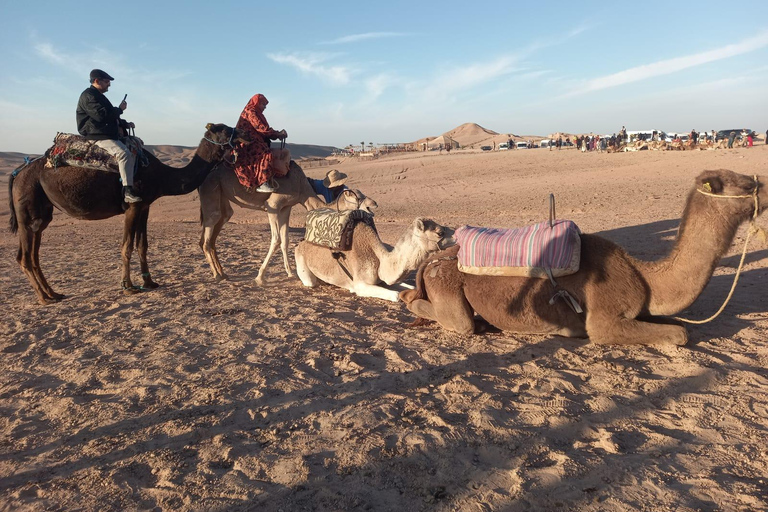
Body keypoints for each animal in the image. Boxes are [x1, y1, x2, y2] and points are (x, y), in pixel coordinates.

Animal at [9, 123, 249, 304]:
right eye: (225, 129)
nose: (244, 133)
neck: (162, 175)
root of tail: (18, 172)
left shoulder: (145, 206)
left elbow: (142, 245)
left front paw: (149, 282)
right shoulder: (132, 206)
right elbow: (126, 246)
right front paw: (128, 286)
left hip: (41, 214)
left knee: (33, 254)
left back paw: (53, 293)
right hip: (27, 210)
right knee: (25, 256)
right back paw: (43, 298)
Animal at [200, 161, 376, 284]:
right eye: (354, 196)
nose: (373, 205)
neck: (301, 187)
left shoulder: (286, 208)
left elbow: (285, 240)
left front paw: (290, 273)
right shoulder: (272, 205)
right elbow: (276, 239)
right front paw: (260, 277)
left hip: (222, 197)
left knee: (217, 226)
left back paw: (222, 273)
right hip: (211, 188)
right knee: (209, 231)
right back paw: (217, 275)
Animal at [296, 216, 456, 300]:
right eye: (440, 232)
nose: (458, 231)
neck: (381, 260)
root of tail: (300, 243)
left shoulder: (383, 280)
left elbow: (410, 287)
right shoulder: (360, 284)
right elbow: (396, 295)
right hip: (302, 264)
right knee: (310, 281)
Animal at [402, 170, 768, 346]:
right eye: (745, 184)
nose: (765, 186)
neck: (643, 277)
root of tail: (436, 259)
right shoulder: (604, 320)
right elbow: (680, 334)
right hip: (447, 284)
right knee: (446, 316)